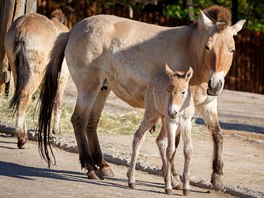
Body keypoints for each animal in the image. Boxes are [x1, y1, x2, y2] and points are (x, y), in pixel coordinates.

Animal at [5, 10, 69, 148]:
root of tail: (22, 26)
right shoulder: (62, 78)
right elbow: (57, 102)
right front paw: (56, 131)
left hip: (18, 71)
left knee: (20, 96)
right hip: (35, 73)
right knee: (24, 96)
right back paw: (21, 138)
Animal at [127, 63, 193, 195]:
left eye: (183, 92)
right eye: (168, 90)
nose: (172, 112)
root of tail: (153, 81)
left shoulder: (186, 123)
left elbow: (187, 150)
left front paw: (186, 188)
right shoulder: (171, 123)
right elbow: (171, 150)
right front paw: (168, 187)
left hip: (163, 119)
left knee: (160, 140)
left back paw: (175, 182)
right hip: (152, 115)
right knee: (139, 136)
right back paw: (131, 180)